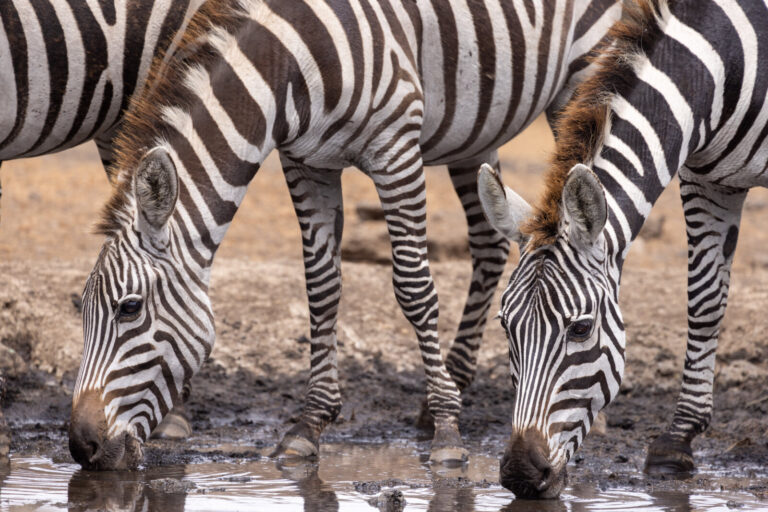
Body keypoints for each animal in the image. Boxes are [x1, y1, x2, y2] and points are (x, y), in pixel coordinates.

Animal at [66, 0, 623, 470]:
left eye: (129, 308)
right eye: (81, 308)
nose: (81, 446)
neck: (290, 61)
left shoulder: (396, 148)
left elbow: (413, 288)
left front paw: (447, 433)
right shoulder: (305, 161)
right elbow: (321, 287)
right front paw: (310, 425)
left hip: (582, 78)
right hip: (477, 127)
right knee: (490, 239)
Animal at [478, 0, 768, 498]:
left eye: (580, 329)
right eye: (505, 325)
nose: (520, 474)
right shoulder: (707, 179)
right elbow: (705, 300)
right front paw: (677, 442)